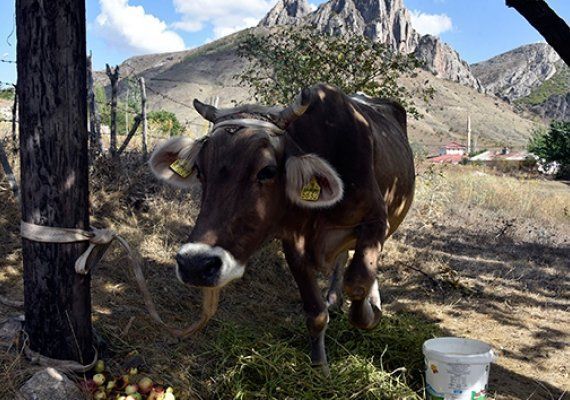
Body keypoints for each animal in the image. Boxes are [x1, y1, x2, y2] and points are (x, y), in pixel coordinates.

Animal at [149, 83, 410, 374]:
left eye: (267, 171)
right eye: (199, 170)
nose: (195, 264)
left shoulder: (376, 221)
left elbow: (358, 283)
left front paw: (372, 312)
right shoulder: (293, 242)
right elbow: (315, 312)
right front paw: (319, 369)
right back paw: (333, 297)